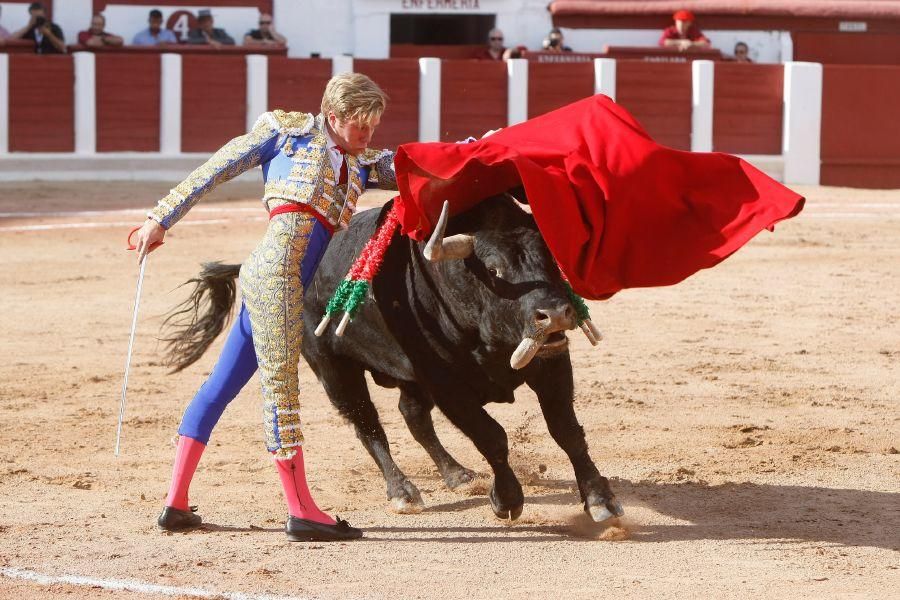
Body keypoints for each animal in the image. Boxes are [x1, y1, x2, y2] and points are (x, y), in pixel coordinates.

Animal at [162, 198, 624, 524]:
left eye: (550, 260)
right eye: (493, 269)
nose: (558, 314)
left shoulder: (551, 363)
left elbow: (567, 431)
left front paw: (600, 500)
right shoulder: (445, 383)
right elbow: (492, 436)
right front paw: (507, 500)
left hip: (405, 378)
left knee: (412, 416)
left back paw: (457, 474)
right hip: (332, 367)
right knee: (367, 424)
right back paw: (402, 491)